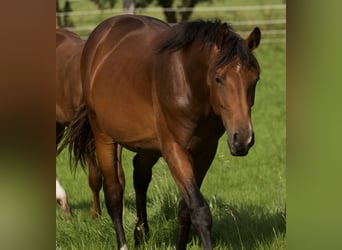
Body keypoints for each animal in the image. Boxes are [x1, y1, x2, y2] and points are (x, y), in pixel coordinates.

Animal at [64, 14, 260, 249]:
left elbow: (186, 209)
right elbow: (200, 210)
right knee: (114, 194)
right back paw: (124, 243)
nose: (243, 139)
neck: (187, 81)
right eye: (219, 78)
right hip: (104, 138)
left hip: (148, 146)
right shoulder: (174, 150)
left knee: (140, 176)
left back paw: (141, 234)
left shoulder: (205, 151)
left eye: (255, 79)